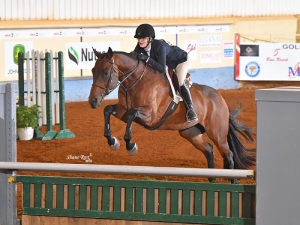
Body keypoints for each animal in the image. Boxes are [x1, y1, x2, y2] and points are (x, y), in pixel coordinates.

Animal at [88, 47, 254, 183]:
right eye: (92, 71)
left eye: (105, 72)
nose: (93, 101)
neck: (135, 81)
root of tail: (220, 99)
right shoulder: (123, 109)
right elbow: (108, 110)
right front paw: (112, 141)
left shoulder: (150, 116)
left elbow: (131, 115)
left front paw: (130, 145)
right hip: (190, 132)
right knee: (208, 149)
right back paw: (212, 180)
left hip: (217, 133)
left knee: (228, 155)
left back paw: (232, 183)